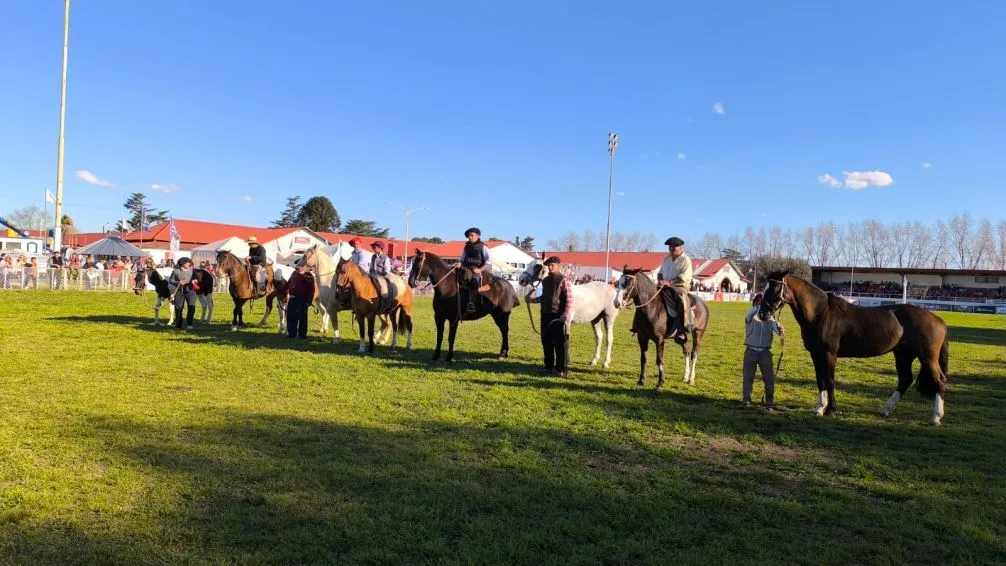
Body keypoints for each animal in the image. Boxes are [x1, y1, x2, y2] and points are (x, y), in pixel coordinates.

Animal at [760, 271, 949, 426]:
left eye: (775, 288)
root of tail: (938, 320)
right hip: (903, 355)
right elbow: (820, 380)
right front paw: (819, 408)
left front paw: (830, 409)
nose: (762, 314)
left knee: (939, 381)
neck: (821, 313)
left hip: (927, 357)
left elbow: (830, 380)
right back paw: (885, 409)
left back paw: (935, 418)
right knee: (905, 380)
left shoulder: (829, 354)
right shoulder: (816, 354)